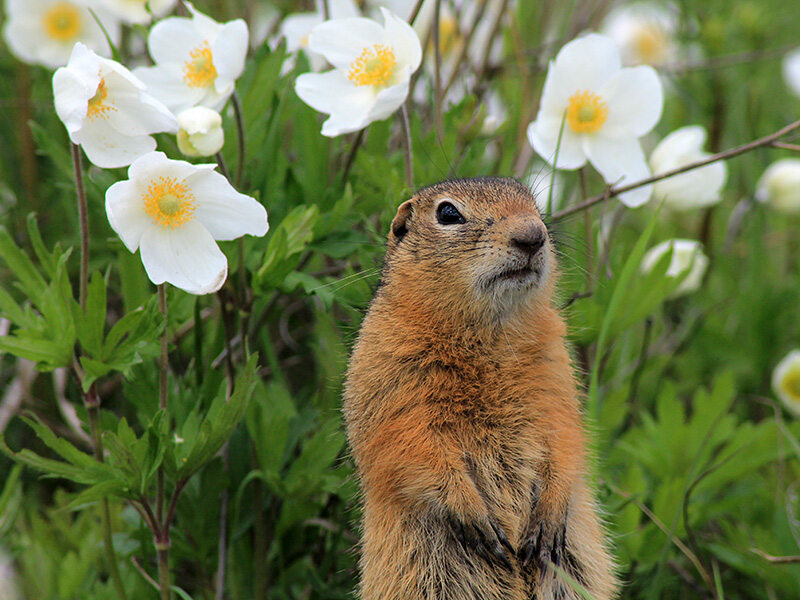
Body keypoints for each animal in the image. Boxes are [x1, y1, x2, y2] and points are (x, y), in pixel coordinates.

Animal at [340, 176, 616, 596]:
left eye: (534, 204)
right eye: (447, 213)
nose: (532, 235)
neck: (490, 335)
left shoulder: (556, 375)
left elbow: (567, 437)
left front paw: (548, 521)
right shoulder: (390, 375)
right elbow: (409, 447)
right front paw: (478, 519)